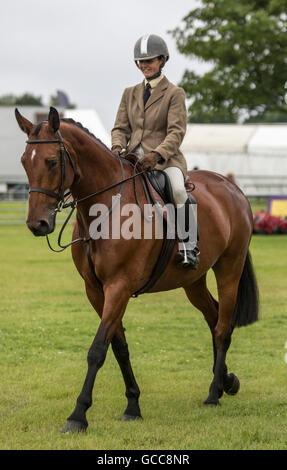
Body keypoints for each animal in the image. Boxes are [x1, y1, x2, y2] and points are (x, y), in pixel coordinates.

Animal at [14, 106, 260, 434]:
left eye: (52, 161)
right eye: (24, 162)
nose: (37, 224)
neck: (106, 208)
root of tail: (231, 187)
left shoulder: (119, 286)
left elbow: (97, 350)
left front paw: (78, 415)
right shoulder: (96, 291)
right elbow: (118, 347)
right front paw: (133, 405)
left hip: (229, 268)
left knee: (222, 326)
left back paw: (213, 394)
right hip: (193, 281)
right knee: (214, 316)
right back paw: (225, 382)